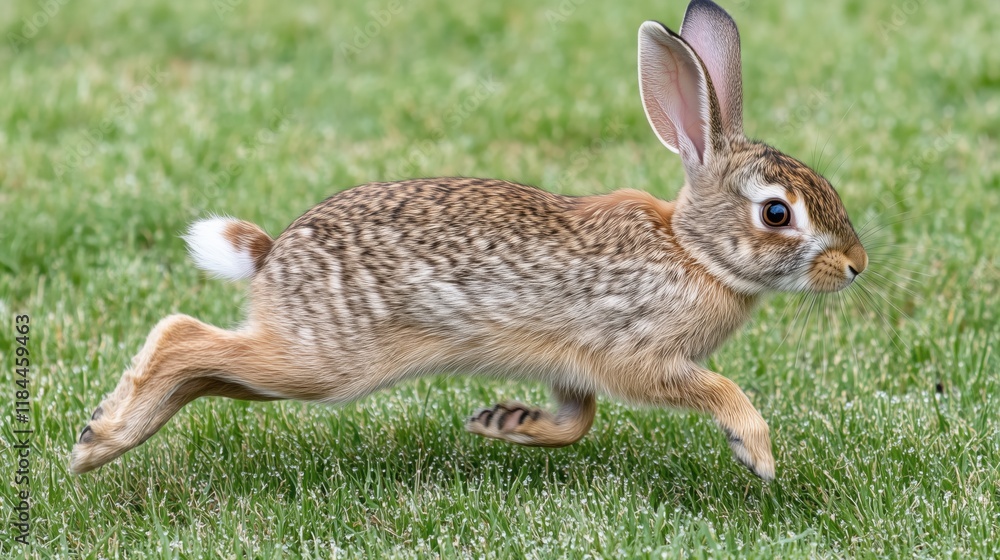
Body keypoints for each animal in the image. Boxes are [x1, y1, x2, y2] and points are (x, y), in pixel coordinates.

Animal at [71, 0, 867, 481]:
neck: (694, 250)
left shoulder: (572, 368)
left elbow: (576, 420)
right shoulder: (638, 356)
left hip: (289, 366)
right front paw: (755, 454)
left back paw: (107, 432)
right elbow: (713, 389)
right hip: (323, 362)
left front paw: (504, 424)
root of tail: (271, 257)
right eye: (777, 214)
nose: (855, 265)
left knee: (203, 367)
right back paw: (98, 445)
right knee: (181, 336)